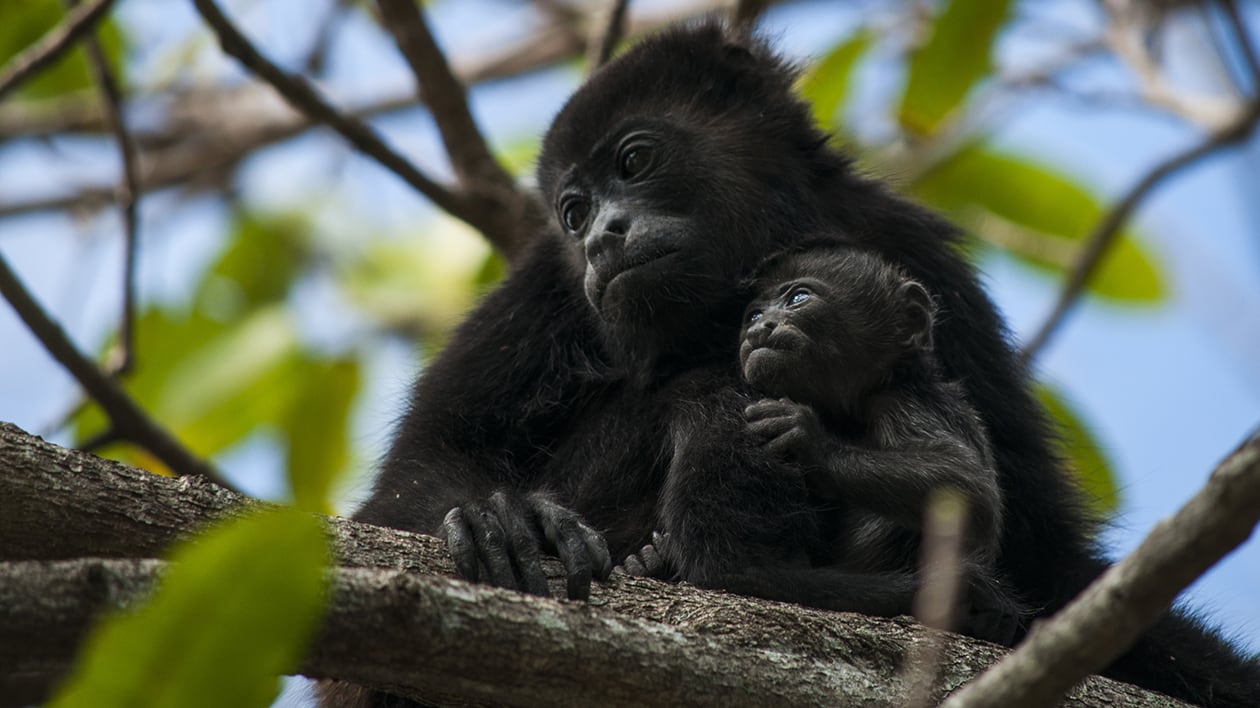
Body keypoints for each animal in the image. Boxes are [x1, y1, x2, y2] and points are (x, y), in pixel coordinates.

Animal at [340, 21, 1260, 707]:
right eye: (571, 210)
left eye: (633, 161)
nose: (601, 237)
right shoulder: (547, 284)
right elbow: (416, 472)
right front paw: (501, 520)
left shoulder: (918, 256)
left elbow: (1042, 545)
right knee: (712, 392)